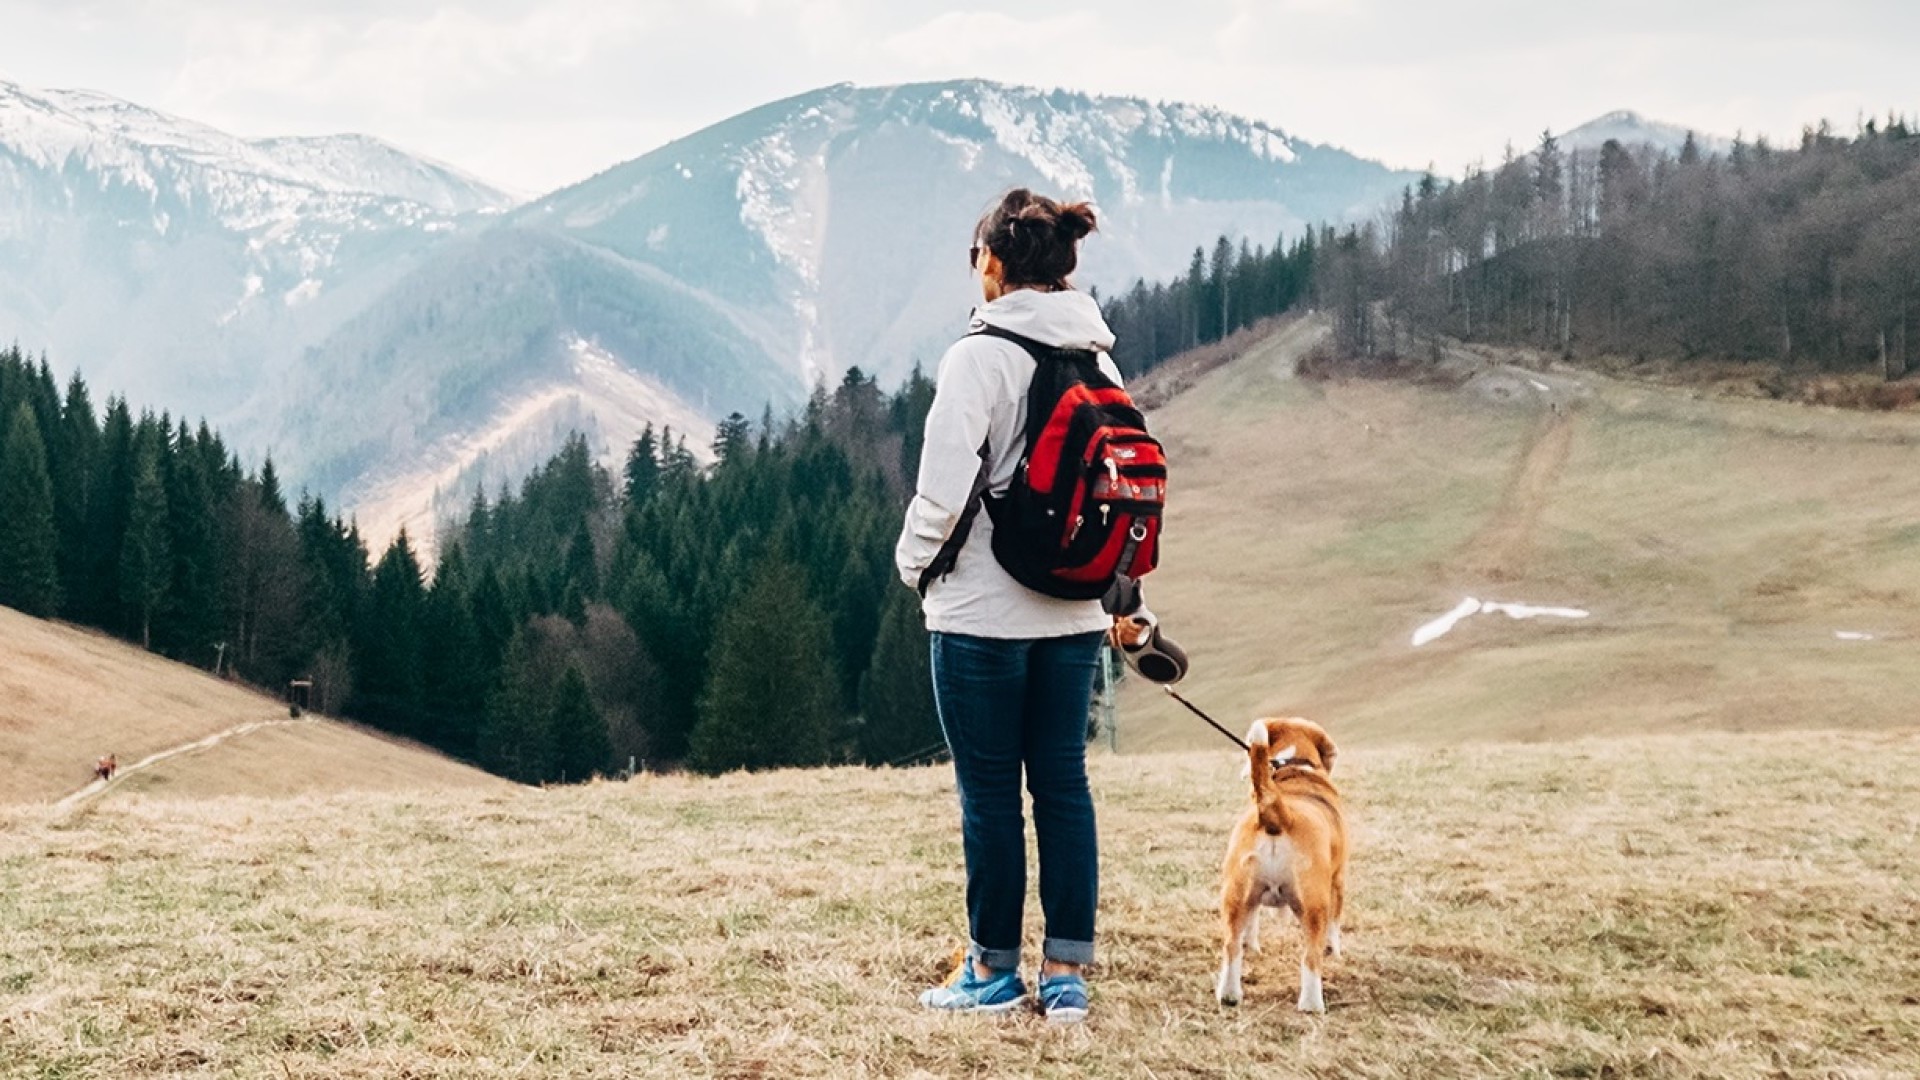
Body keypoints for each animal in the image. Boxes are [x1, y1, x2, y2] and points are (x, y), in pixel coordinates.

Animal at [1213, 714, 1351, 1006]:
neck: (1294, 767)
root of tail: (1277, 811)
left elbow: (1250, 925)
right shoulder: (1338, 880)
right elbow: (1335, 926)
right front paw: (1336, 952)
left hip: (1235, 895)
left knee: (1231, 947)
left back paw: (1229, 995)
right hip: (1315, 905)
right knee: (1311, 957)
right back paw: (1312, 1004)